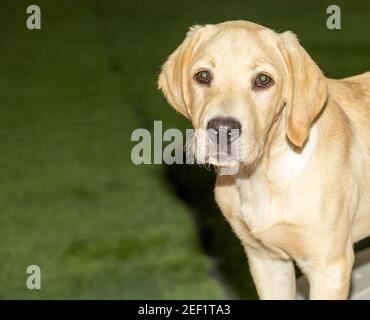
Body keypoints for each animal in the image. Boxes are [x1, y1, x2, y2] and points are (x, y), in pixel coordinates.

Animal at [157, 20, 370, 300]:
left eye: (263, 80)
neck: (259, 177)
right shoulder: (267, 261)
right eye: (203, 76)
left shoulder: (330, 266)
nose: (222, 129)